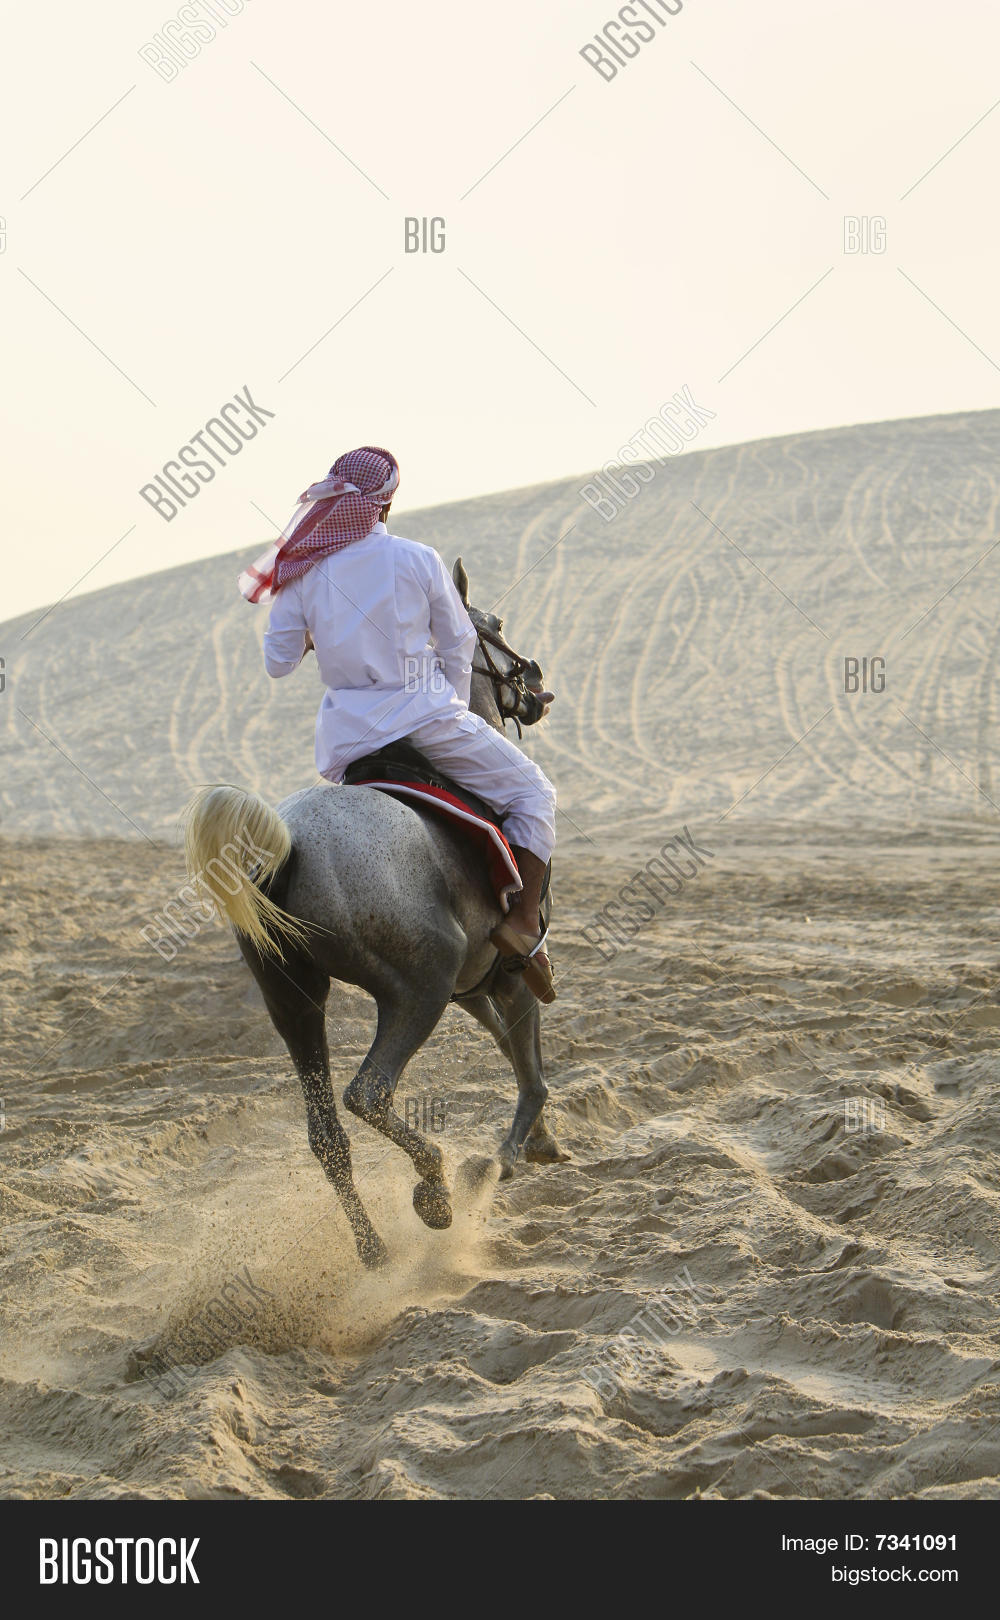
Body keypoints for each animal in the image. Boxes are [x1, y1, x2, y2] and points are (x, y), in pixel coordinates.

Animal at [184, 558, 567, 1269]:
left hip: (296, 1004)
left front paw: (541, 1141)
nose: (535, 681)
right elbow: (528, 1068)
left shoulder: (473, 984)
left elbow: (509, 1046)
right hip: (417, 989)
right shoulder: (504, 972)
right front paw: (502, 1158)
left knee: (327, 1134)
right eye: (493, 623)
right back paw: (436, 1190)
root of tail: (288, 847)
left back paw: (374, 1250)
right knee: (369, 1092)